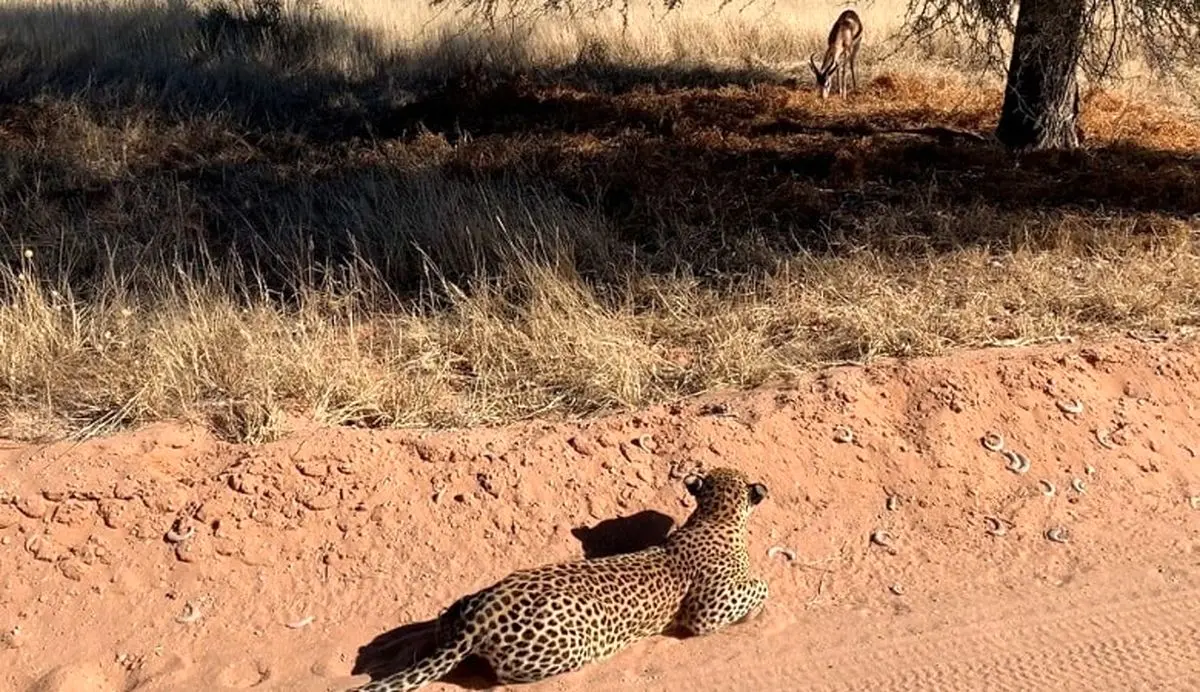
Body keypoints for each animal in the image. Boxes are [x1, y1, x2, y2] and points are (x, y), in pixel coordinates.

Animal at [350, 465, 768, 690]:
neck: (715, 516)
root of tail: (482, 617)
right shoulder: (705, 612)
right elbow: (760, 586)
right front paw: (757, 607)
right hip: (569, 648)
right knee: (502, 676)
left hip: (469, 600)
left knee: (443, 621)